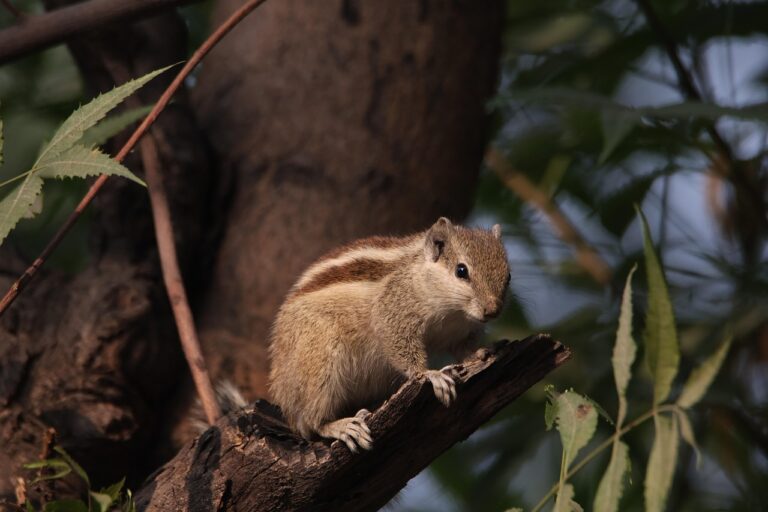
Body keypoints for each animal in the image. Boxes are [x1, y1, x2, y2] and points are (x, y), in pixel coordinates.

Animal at [268, 216, 512, 452]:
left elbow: (462, 348)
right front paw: (430, 374)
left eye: (508, 275)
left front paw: (479, 353)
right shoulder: (394, 314)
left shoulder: (459, 332)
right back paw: (341, 426)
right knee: (311, 421)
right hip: (319, 360)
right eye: (461, 271)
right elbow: (400, 346)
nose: (493, 310)